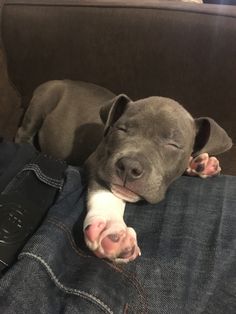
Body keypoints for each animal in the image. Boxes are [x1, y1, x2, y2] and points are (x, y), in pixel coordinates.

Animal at [15, 80, 233, 262]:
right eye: (121, 129)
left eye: (172, 144)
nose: (129, 166)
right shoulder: (98, 162)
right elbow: (106, 192)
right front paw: (110, 227)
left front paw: (198, 163)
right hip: (42, 102)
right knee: (24, 133)